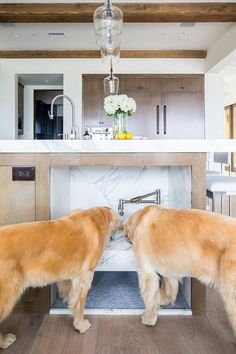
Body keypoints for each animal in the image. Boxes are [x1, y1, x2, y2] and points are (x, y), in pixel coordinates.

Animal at [0, 207, 119, 348]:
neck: (96, 216)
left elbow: (69, 293)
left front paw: (68, 302)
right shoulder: (85, 275)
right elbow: (80, 305)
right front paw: (80, 325)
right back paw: (4, 340)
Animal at [123, 205, 236, 334]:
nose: (127, 238)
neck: (140, 219)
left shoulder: (147, 272)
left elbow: (149, 298)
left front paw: (148, 318)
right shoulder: (170, 267)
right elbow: (169, 285)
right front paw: (164, 299)